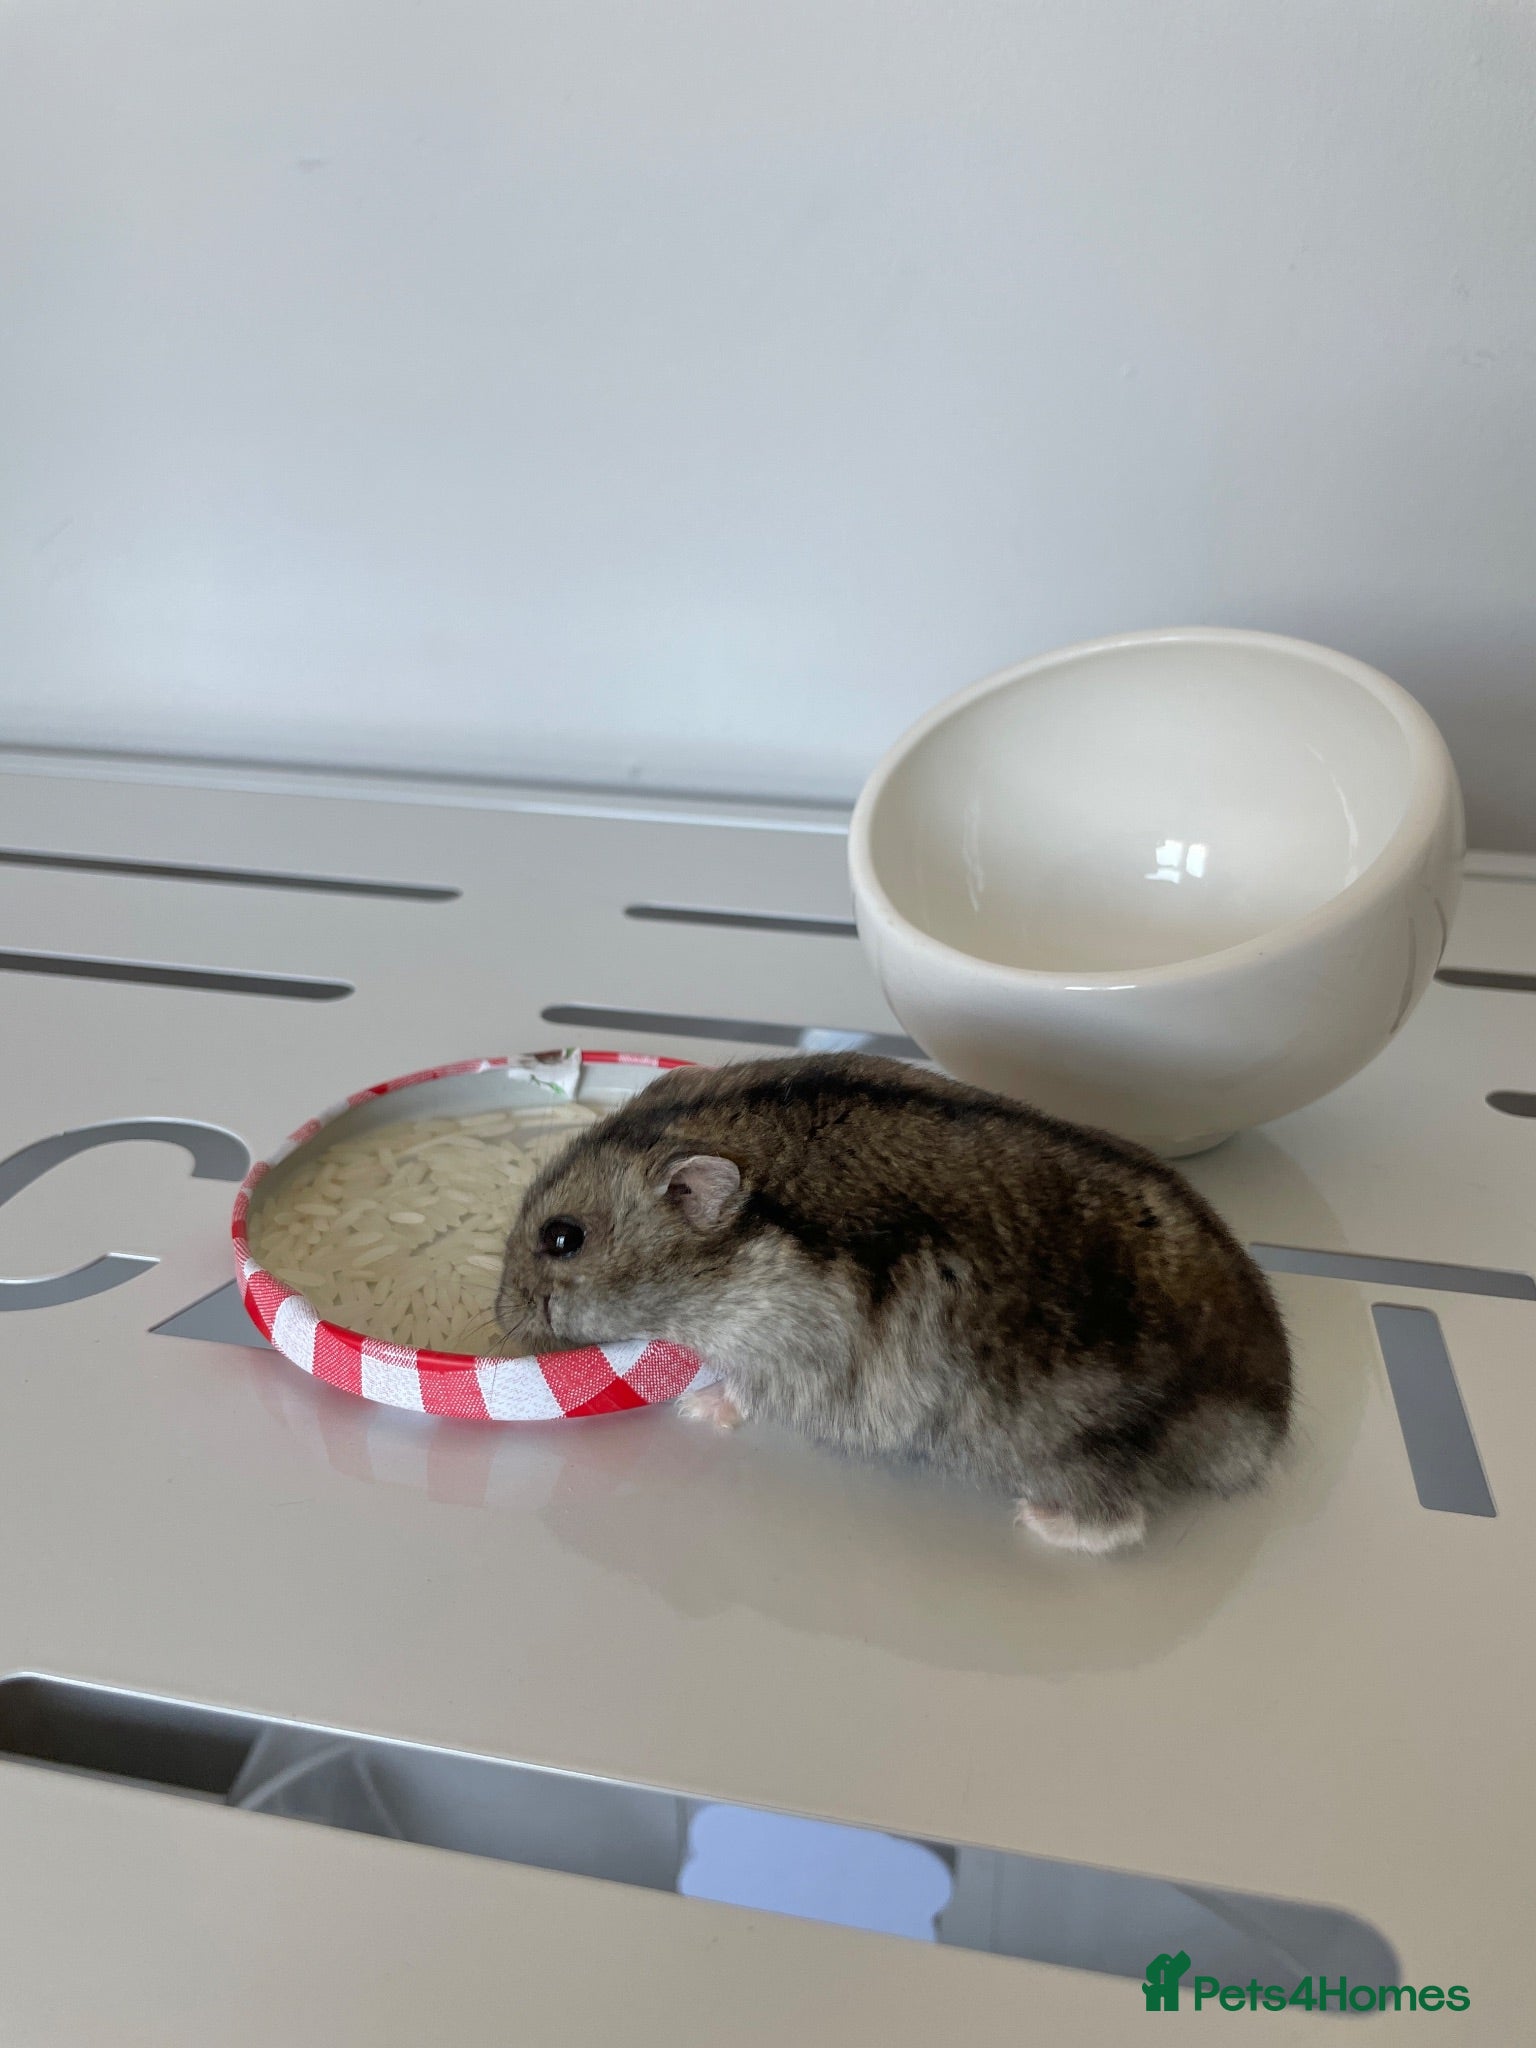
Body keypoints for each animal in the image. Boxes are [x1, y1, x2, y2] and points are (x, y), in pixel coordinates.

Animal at [495, 1053, 1291, 1553]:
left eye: (562, 1238)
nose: (501, 1314)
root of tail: (1268, 1420)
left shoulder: (790, 1347)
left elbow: (743, 1389)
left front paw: (695, 1407)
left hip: (1072, 1443)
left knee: (1119, 1522)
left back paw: (1036, 1522)